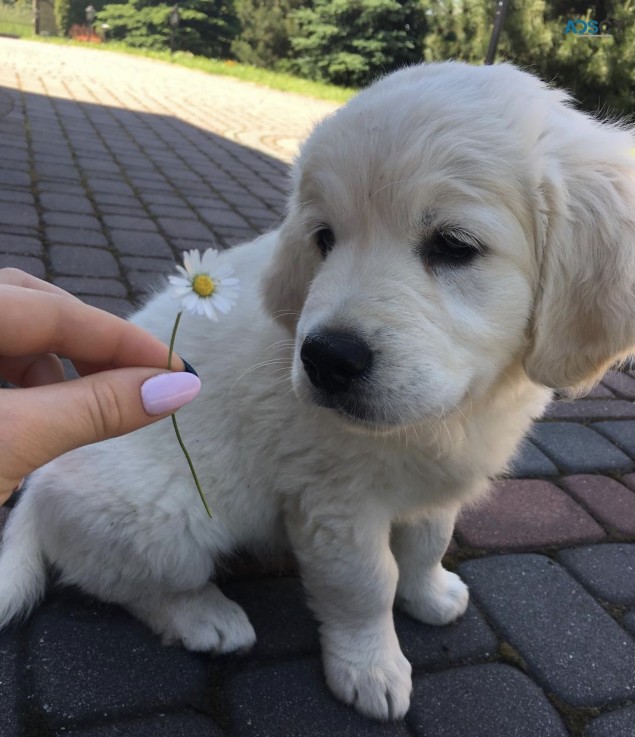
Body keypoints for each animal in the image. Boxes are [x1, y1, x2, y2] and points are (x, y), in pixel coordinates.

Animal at [1, 63, 635, 720]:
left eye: (455, 245)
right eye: (324, 238)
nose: (326, 359)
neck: (450, 413)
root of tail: (36, 486)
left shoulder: (434, 487)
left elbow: (428, 542)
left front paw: (430, 594)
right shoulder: (334, 504)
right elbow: (366, 583)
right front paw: (371, 667)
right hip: (166, 516)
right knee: (123, 582)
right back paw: (207, 617)